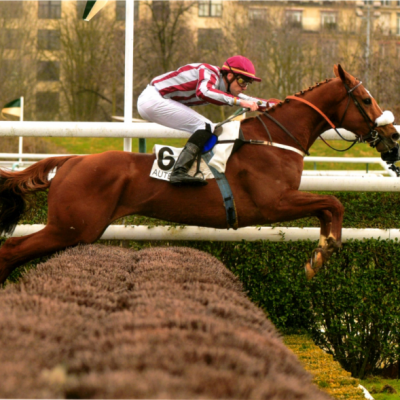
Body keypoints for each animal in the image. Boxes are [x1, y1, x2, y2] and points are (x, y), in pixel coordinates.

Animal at [0, 64, 400, 282]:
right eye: (366, 100)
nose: (392, 135)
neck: (275, 139)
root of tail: (71, 160)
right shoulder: (273, 203)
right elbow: (333, 202)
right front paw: (323, 252)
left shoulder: (283, 202)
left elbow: (328, 207)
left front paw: (322, 249)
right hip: (71, 227)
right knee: (10, 249)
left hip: (77, 230)